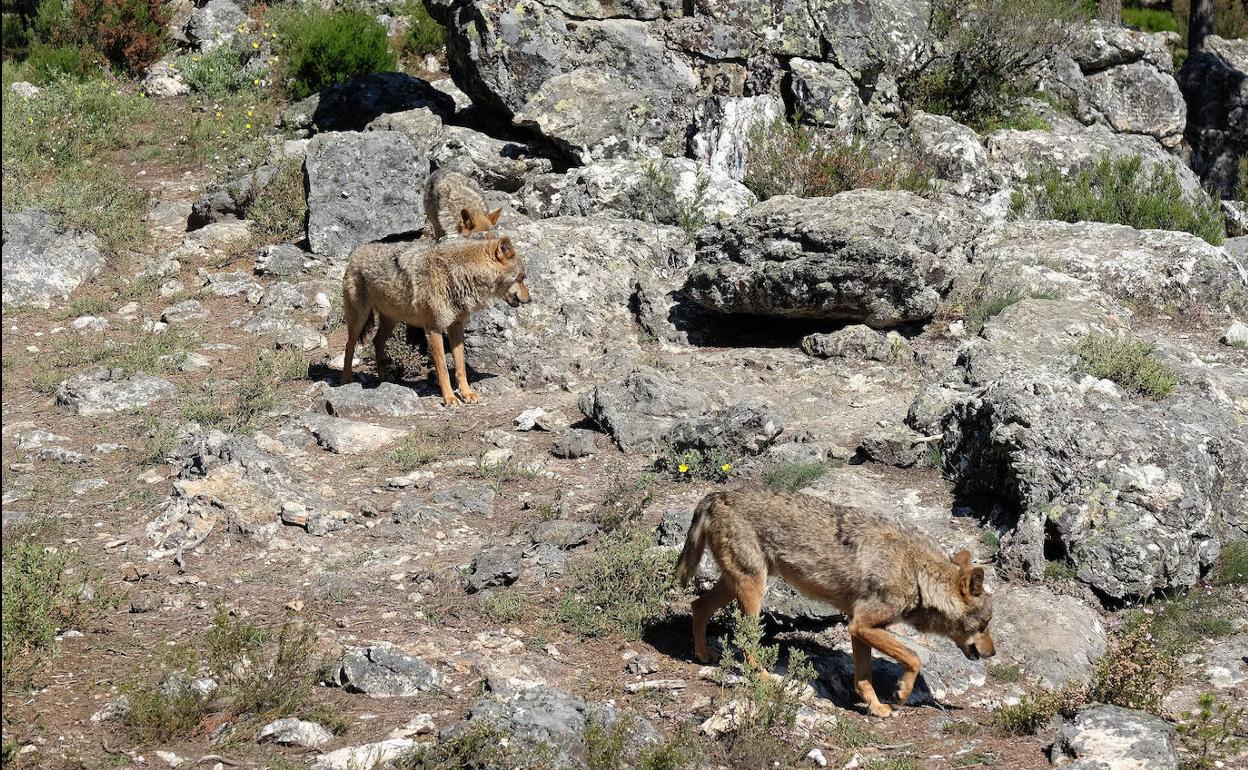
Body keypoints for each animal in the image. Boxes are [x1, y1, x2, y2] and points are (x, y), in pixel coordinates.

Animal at [339, 234, 529, 404]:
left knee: (377, 341)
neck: (457, 274)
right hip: (359, 319)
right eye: (522, 277)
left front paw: (466, 393)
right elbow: (443, 369)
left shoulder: (456, 327)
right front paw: (450, 398)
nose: (529, 299)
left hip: (391, 321)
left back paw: (384, 376)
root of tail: (357, 251)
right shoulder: (434, 329)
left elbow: (461, 367)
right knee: (349, 345)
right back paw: (346, 379)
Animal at [673, 489, 993, 718]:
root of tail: (715, 495)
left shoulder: (858, 629)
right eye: (985, 623)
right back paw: (764, 678)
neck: (916, 573)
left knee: (697, 606)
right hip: (752, 589)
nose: (992, 653)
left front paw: (876, 708)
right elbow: (914, 657)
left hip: (737, 584)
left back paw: (702, 653)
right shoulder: (863, 624)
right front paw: (901, 693)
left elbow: (863, 678)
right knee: (745, 640)